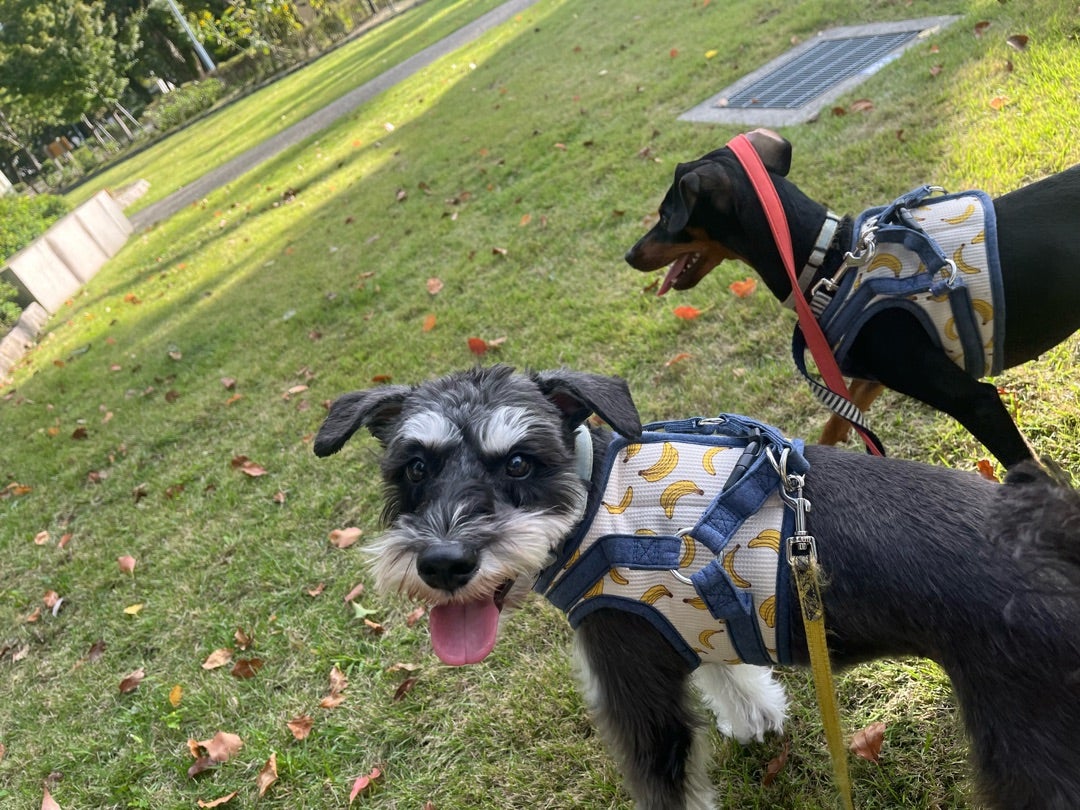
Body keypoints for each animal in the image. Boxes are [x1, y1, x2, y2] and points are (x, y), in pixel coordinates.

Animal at [315, 364, 1080, 809]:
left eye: (521, 464)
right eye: (414, 468)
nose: (444, 563)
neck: (591, 503)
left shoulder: (632, 685)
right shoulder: (687, 620)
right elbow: (727, 673)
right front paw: (756, 717)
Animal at [624, 129, 1080, 469]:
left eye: (665, 216)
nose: (629, 255)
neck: (828, 258)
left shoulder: (975, 401)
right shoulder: (867, 376)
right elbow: (833, 428)